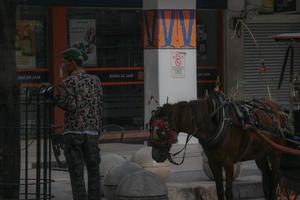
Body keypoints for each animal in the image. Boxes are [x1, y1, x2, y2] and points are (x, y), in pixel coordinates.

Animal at [150, 91, 290, 200]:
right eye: (149, 128)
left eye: (160, 131)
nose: (155, 156)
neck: (216, 120)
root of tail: (278, 107)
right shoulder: (214, 162)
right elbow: (219, 191)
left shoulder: (228, 163)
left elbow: (228, 193)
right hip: (260, 155)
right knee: (267, 179)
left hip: (275, 152)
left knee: (275, 180)